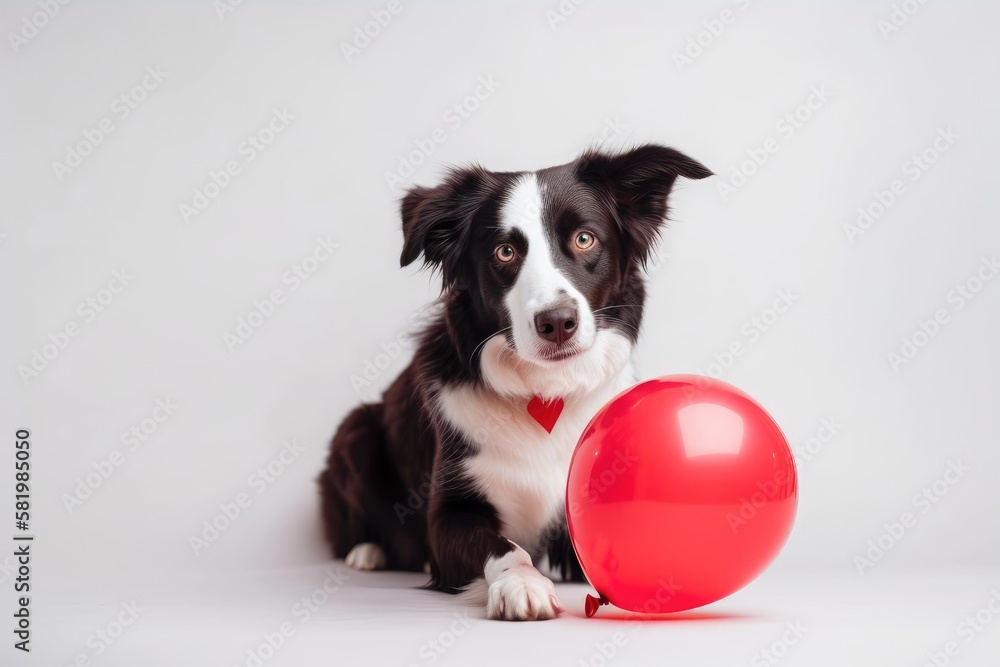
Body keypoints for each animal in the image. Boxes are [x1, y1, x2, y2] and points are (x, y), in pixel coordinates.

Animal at [320, 145, 712, 620]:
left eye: (585, 239)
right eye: (505, 252)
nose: (557, 322)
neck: (544, 390)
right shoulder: (447, 515)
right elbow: (504, 546)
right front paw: (522, 584)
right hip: (355, 430)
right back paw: (367, 552)